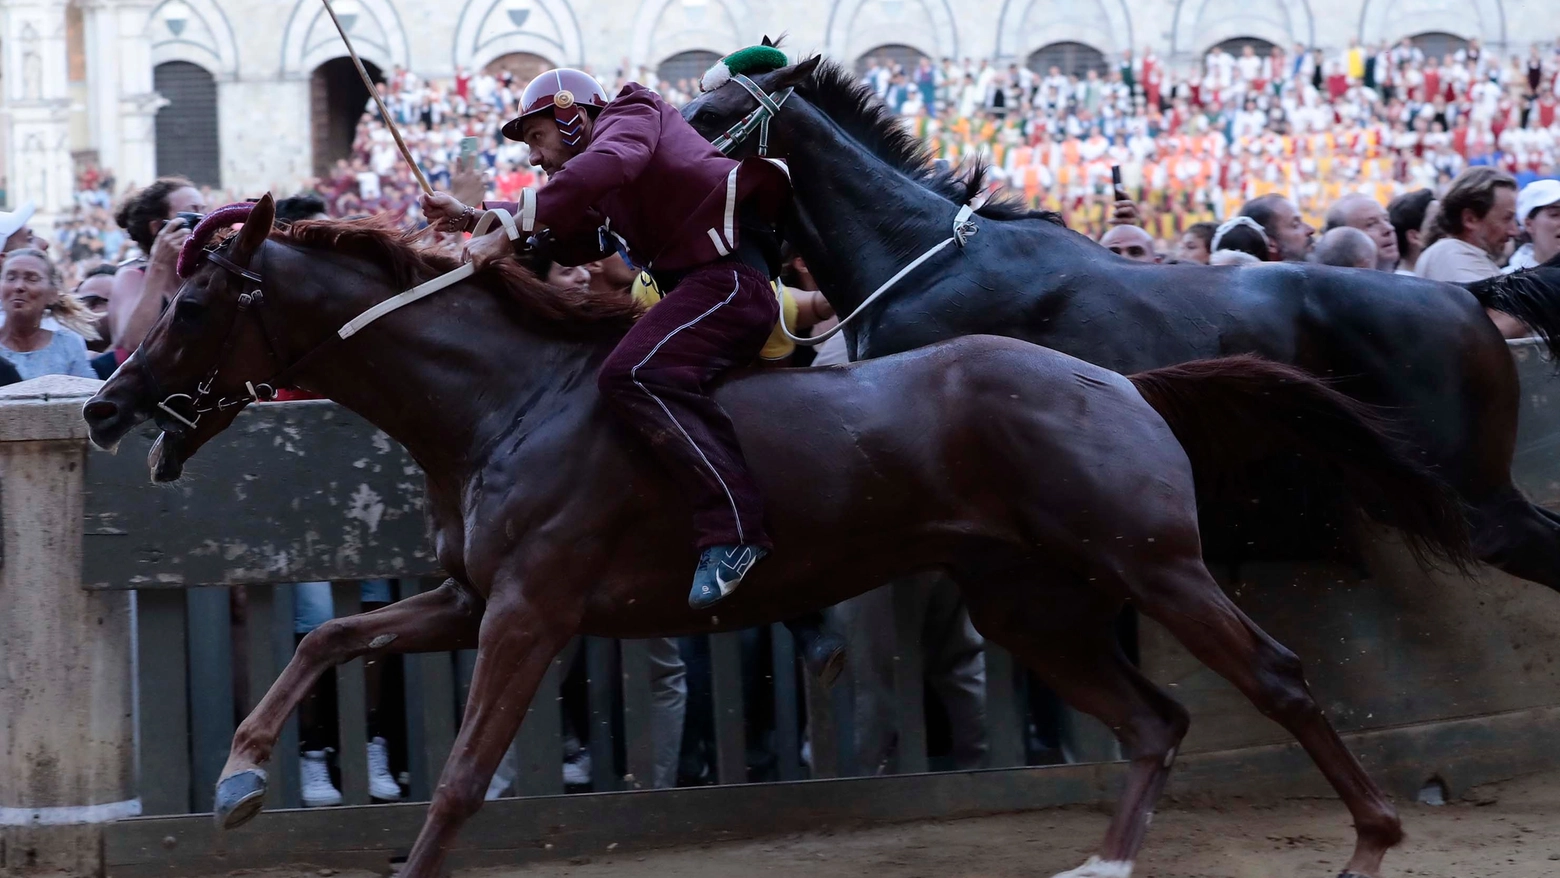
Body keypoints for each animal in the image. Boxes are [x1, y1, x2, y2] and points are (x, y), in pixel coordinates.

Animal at [85, 197, 1472, 878]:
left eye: (194, 301)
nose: (102, 401)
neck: (506, 396)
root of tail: (1126, 382)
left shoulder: (533, 610)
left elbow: (466, 777)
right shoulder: (473, 599)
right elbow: (325, 648)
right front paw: (240, 778)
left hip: (1152, 563)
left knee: (1273, 676)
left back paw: (1372, 842)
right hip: (1025, 595)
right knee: (1153, 719)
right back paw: (1105, 864)